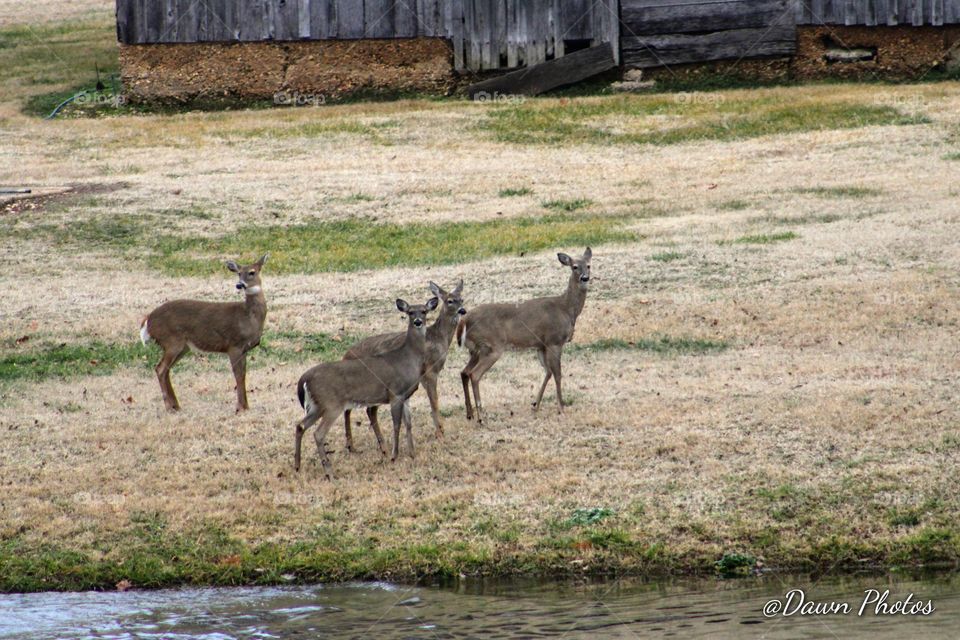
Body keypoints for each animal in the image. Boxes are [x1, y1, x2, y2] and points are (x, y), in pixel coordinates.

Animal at [139, 254, 268, 412]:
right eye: (239, 273)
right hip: (172, 341)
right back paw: (169, 407)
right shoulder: (233, 345)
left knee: (165, 369)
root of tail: (148, 320)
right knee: (160, 368)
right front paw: (240, 407)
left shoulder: (244, 349)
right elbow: (238, 375)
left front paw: (246, 406)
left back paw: (176, 405)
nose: (240, 285)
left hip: (182, 347)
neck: (248, 317)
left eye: (252, 272)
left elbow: (243, 374)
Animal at [294, 297, 439, 479]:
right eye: (410, 312)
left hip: (316, 406)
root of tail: (303, 380)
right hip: (331, 404)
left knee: (300, 426)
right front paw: (394, 455)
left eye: (424, 311)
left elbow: (409, 423)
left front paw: (412, 453)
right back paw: (329, 472)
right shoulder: (395, 393)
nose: (418, 322)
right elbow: (396, 424)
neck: (408, 359)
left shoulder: (405, 395)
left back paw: (298, 466)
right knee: (318, 433)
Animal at [341, 280, 465, 453]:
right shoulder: (430, 371)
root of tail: (346, 355)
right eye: (450, 301)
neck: (438, 338)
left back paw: (363, 445)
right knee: (361, 409)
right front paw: (440, 434)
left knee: (360, 409)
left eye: (462, 299)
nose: (463, 310)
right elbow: (434, 401)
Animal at [457, 247, 592, 424]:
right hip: (492, 346)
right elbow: (557, 374)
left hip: (476, 350)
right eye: (574, 266)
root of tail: (464, 320)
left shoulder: (541, 345)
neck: (566, 309)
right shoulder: (554, 341)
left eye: (589, 265)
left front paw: (536, 405)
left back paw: (470, 414)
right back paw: (481, 417)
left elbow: (548, 372)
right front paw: (561, 408)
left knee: (464, 372)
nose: (585, 278)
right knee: (474, 374)